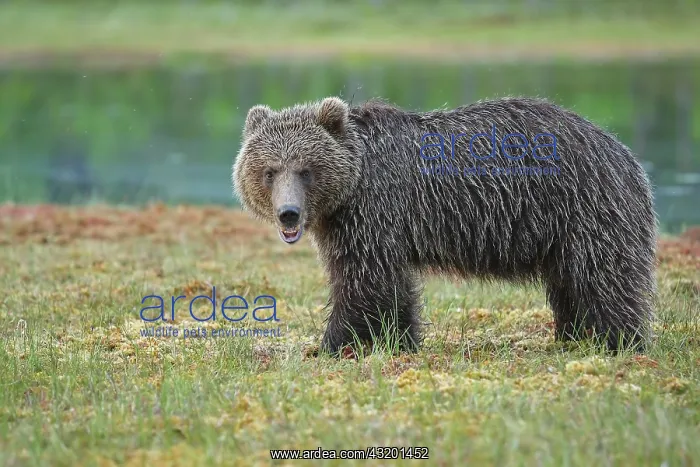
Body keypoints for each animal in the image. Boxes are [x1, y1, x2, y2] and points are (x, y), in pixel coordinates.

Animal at [232, 96, 657, 355]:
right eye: (269, 171)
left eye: (306, 169)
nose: (289, 213)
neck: (352, 187)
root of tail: (624, 153)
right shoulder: (358, 225)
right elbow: (390, 286)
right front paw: (400, 340)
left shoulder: (374, 211)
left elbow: (363, 281)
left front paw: (329, 345)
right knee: (569, 284)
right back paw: (572, 337)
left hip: (585, 207)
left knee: (602, 278)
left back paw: (619, 341)